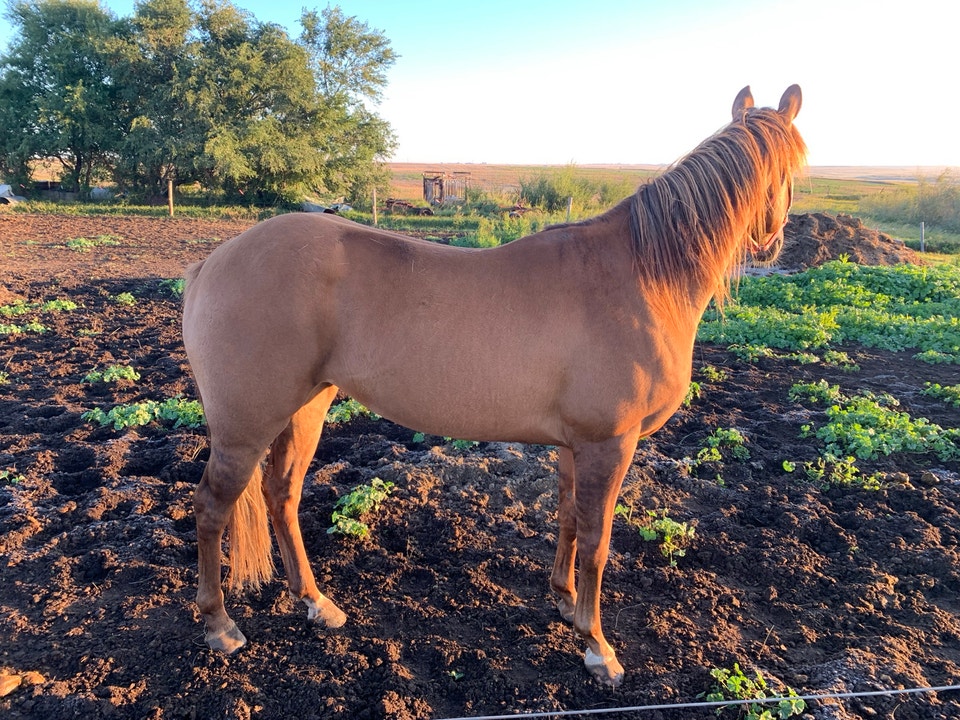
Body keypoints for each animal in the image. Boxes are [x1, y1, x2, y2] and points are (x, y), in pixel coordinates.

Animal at [181, 85, 806, 686]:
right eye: (790, 168)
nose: (775, 240)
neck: (639, 276)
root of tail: (214, 262)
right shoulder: (609, 444)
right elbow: (597, 543)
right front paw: (597, 649)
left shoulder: (575, 445)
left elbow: (569, 519)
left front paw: (565, 604)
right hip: (246, 425)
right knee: (212, 506)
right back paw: (219, 626)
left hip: (308, 405)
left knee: (281, 496)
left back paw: (316, 603)